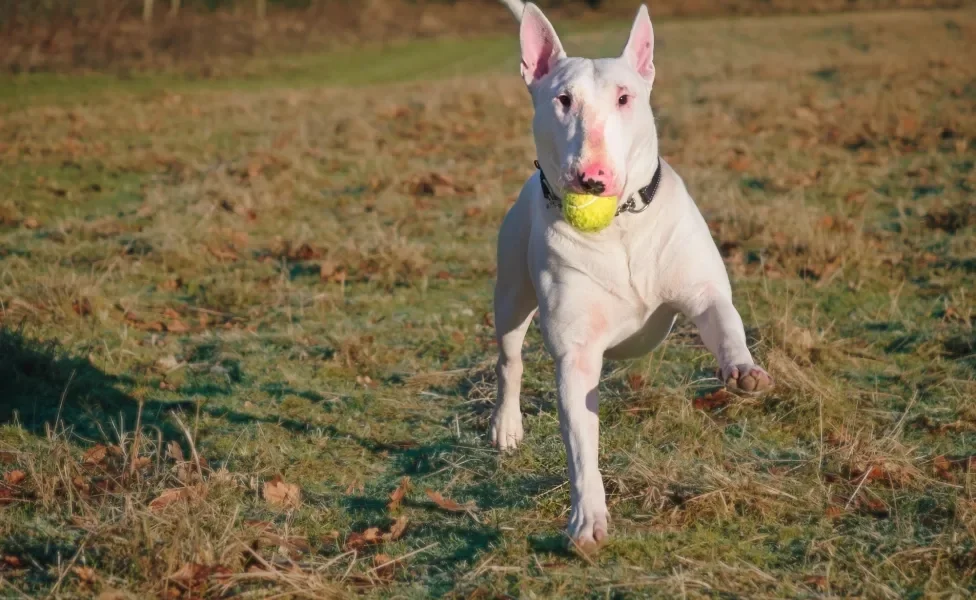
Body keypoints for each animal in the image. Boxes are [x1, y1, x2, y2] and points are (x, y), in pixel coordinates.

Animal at [492, 2, 772, 552]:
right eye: (562, 99)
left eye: (625, 98)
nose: (592, 178)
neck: (620, 225)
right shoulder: (576, 355)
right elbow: (582, 448)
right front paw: (587, 519)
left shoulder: (702, 291)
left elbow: (725, 320)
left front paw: (743, 370)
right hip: (511, 294)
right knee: (509, 361)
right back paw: (506, 426)